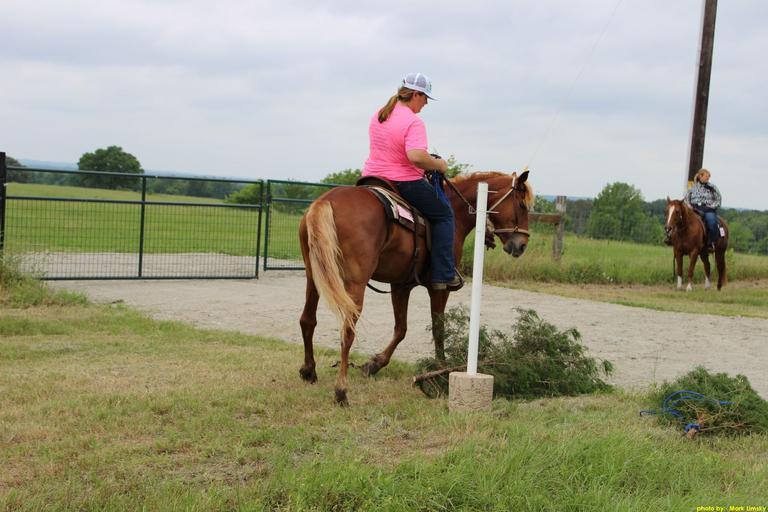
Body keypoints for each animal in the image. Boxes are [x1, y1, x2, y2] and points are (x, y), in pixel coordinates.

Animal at [298, 171, 534, 405]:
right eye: (522, 205)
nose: (521, 245)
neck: (456, 211)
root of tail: (326, 201)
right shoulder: (439, 288)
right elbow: (439, 328)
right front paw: (440, 369)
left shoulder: (401, 286)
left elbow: (401, 329)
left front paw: (374, 364)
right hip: (355, 282)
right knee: (347, 331)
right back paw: (341, 391)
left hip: (314, 276)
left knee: (307, 320)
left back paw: (309, 371)